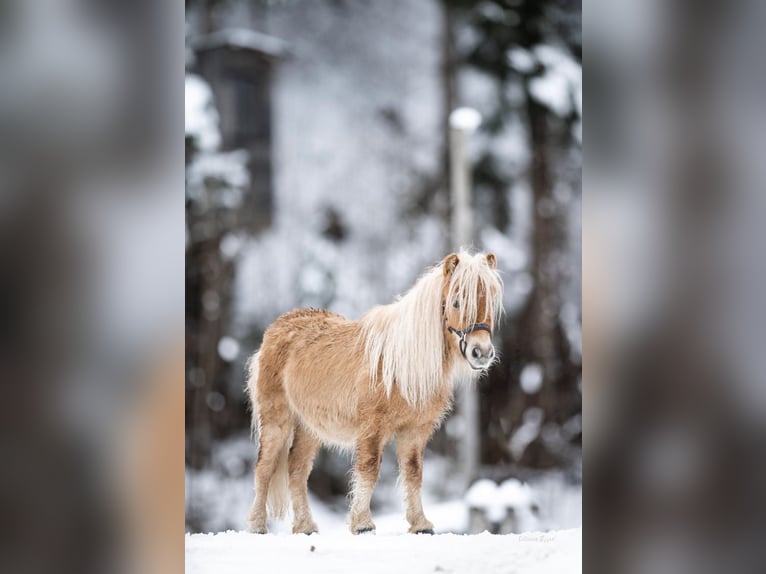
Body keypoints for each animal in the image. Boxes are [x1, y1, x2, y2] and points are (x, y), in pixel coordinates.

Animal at [246, 251, 503, 535]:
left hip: (309, 427)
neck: (402, 363)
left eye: (491, 301)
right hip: (276, 420)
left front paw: (420, 524)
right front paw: (362, 524)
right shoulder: (372, 427)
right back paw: (257, 525)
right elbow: (369, 469)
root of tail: (277, 328)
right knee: (265, 467)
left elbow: (413, 472)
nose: (481, 353)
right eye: (457, 302)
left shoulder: (415, 431)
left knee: (297, 469)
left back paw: (305, 527)